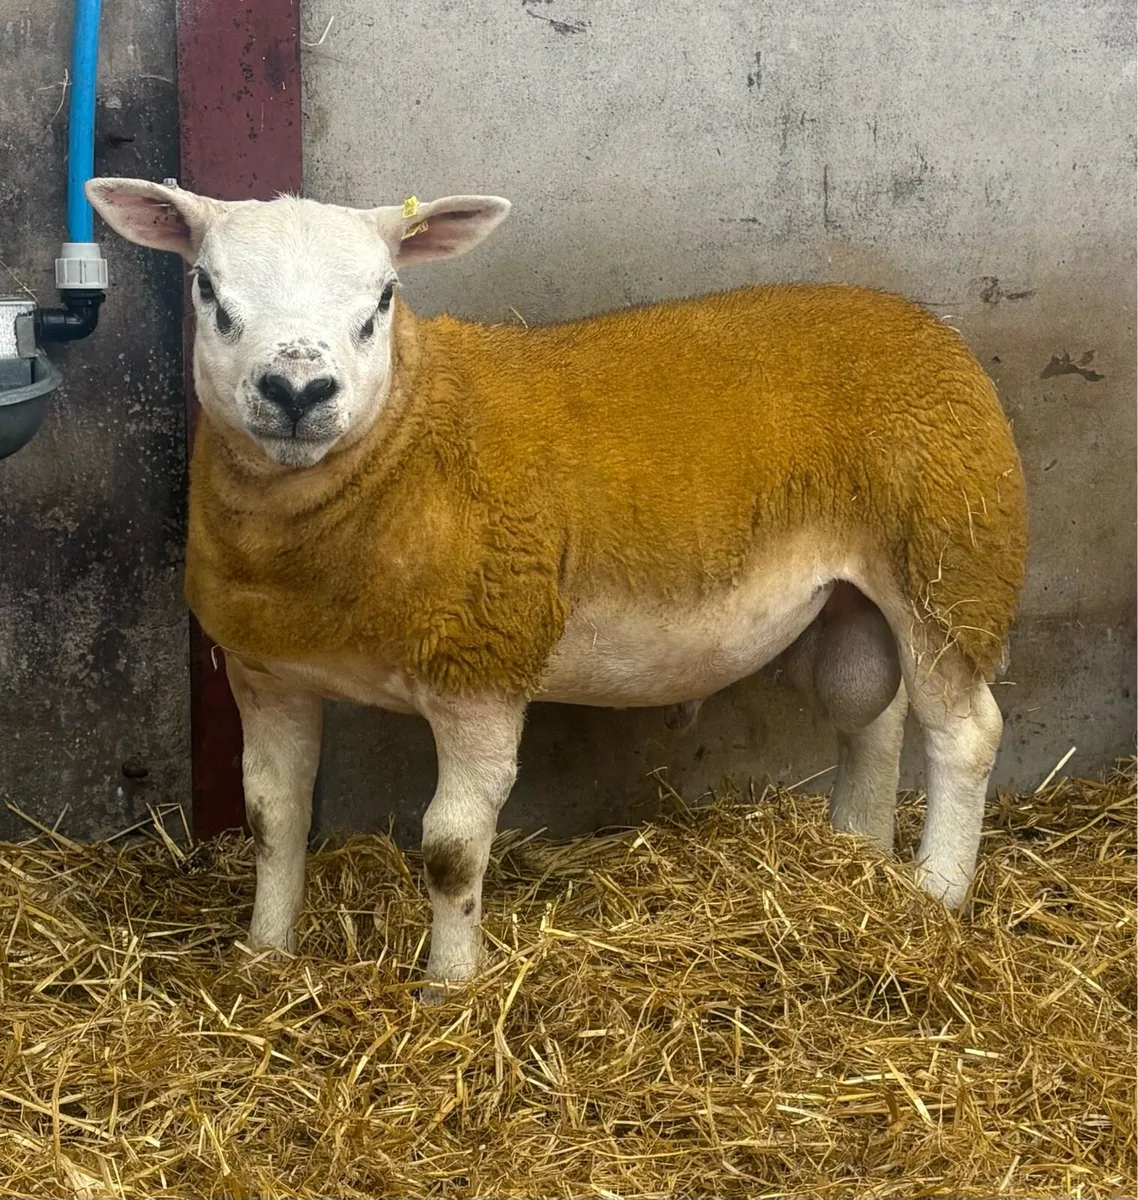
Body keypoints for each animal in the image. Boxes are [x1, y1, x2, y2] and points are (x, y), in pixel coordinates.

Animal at [85, 177, 1027, 993]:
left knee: (965, 733)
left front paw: (448, 988)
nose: (295, 390)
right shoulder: (267, 673)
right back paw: (858, 858)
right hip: (861, 595)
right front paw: (264, 956)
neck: (407, 435)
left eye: (383, 300)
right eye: (208, 290)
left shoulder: (482, 667)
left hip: (953, 564)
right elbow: (272, 820)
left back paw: (936, 893)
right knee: (872, 711)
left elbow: (451, 849)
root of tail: (920, 321)